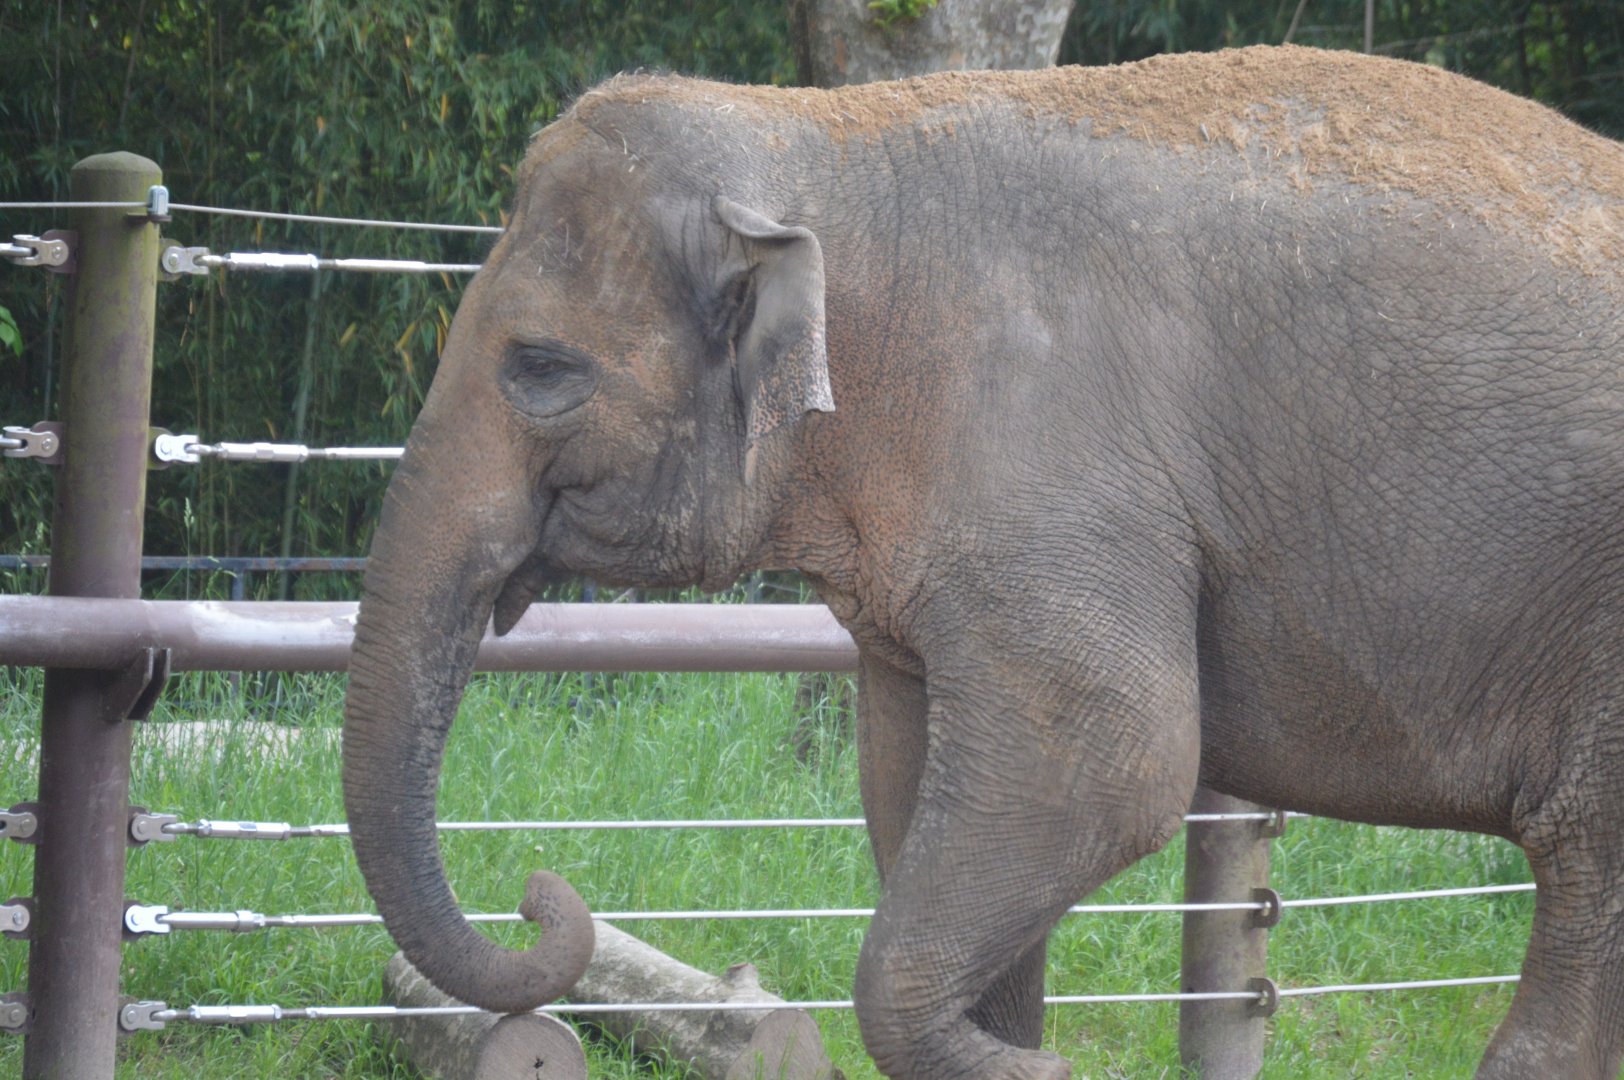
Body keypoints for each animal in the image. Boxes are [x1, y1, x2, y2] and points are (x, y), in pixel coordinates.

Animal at [341, 44, 1624, 1080]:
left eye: (541, 369)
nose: (539, 893)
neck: (830, 141)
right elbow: (915, 781)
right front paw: (1013, 1046)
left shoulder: (1054, 460)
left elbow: (1115, 757)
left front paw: (1034, 1067)